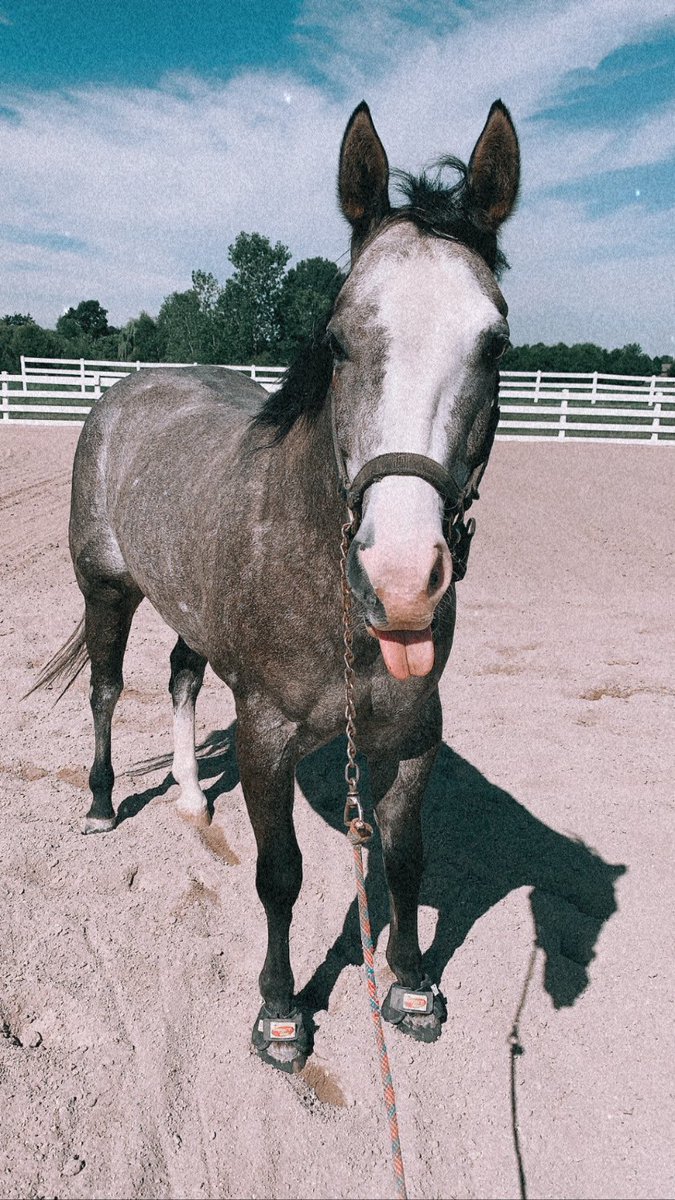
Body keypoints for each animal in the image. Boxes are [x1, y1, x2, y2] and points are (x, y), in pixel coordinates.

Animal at [34, 99, 520, 1071]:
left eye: (496, 345)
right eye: (337, 340)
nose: (400, 578)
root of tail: (129, 389)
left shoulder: (413, 735)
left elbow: (403, 862)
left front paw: (411, 987)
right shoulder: (265, 735)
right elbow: (280, 874)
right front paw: (280, 1013)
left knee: (181, 677)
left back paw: (190, 796)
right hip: (105, 591)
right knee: (106, 688)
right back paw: (104, 804)